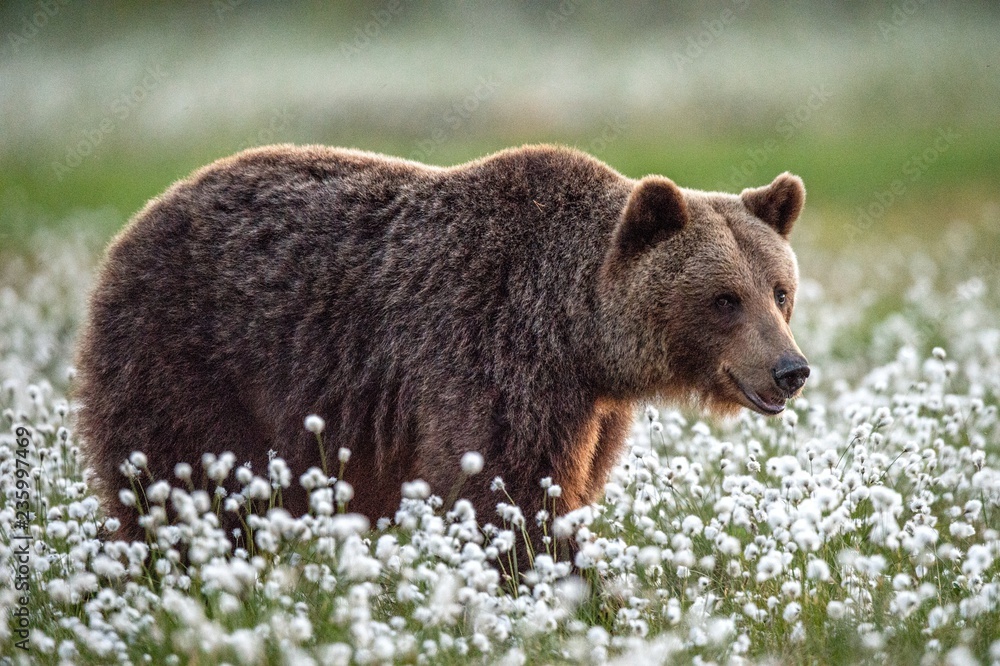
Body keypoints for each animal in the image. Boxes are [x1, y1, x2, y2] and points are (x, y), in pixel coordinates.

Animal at [74, 144, 809, 548]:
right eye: (724, 299)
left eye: (779, 291)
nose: (790, 369)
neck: (581, 338)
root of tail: (133, 226)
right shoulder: (497, 352)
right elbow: (506, 489)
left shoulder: (590, 409)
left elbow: (564, 486)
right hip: (188, 354)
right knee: (184, 481)